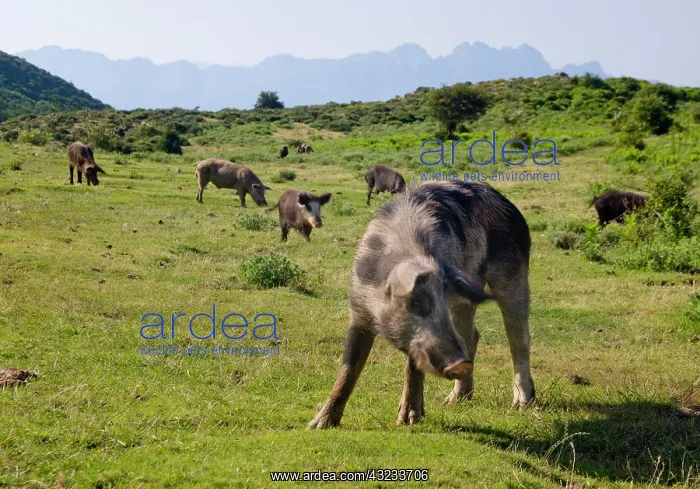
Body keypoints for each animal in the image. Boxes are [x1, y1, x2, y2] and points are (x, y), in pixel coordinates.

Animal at [308, 180, 534, 429]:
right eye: (416, 304)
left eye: (441, 306)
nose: (460, 363)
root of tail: (508, 203)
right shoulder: (358, 310)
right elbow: (348, 369)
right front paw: (318, 424)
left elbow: (412, 368)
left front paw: (407, 420)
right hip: (465, 301)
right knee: (472, 336)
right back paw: (453, 401)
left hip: (514, 273)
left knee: (519, 339)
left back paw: (522, 404)